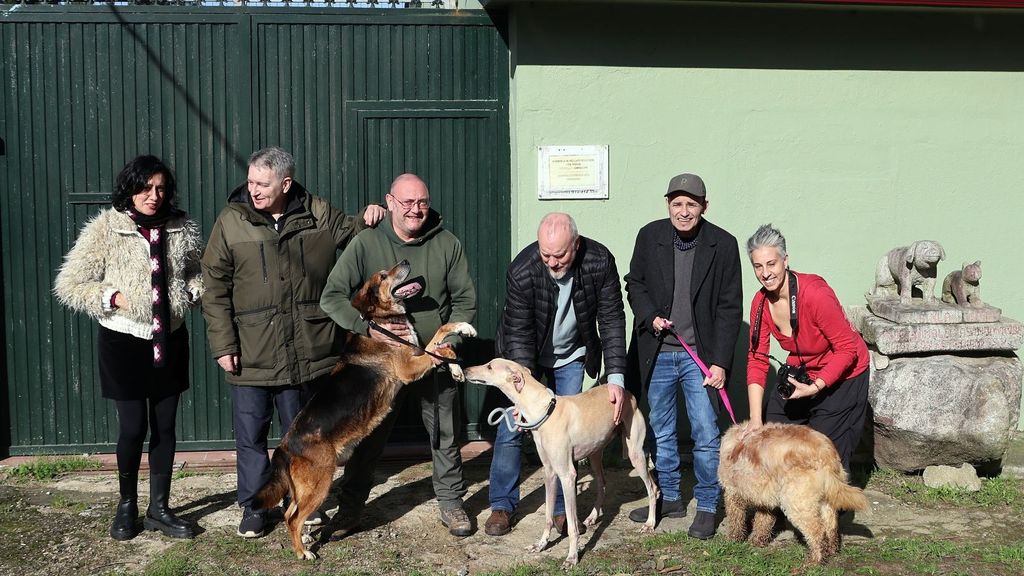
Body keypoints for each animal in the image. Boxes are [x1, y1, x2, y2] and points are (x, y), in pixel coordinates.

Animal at [462, 356, 659, 565]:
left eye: (490, 366)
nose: (465, 370)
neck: (545, 411)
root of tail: (629, 394)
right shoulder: (549, 473)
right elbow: (548, 516)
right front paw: (541, 545)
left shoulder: (567, 475)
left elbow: (572, 526)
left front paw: (572, 557)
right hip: (594, 454)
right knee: (603, 483)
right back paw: (592, 517)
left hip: (635, 453)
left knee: (652, 488)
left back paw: (649, 523)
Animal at [716, 420, 868, 561]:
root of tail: (825, 452)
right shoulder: (765, 500)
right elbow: (763, 521)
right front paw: (758, 540)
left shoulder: (732, 493)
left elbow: (736, 519)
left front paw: (733, 539)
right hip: (824, 502)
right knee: (831, 527)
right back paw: (831, 551)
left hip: (796, 502)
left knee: (817, 531)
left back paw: (814, 560)